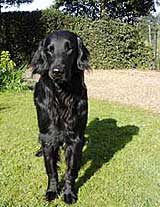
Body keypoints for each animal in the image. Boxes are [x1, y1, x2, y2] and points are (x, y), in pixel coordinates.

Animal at [30, 29, 89, 205]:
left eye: (69, 48)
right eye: (49, 49)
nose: (57, 71)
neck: (62, 94)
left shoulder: (76, 138)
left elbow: (71, 170)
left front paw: (68, 193)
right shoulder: (48, 136)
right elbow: (51, 170)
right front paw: (52, 191)